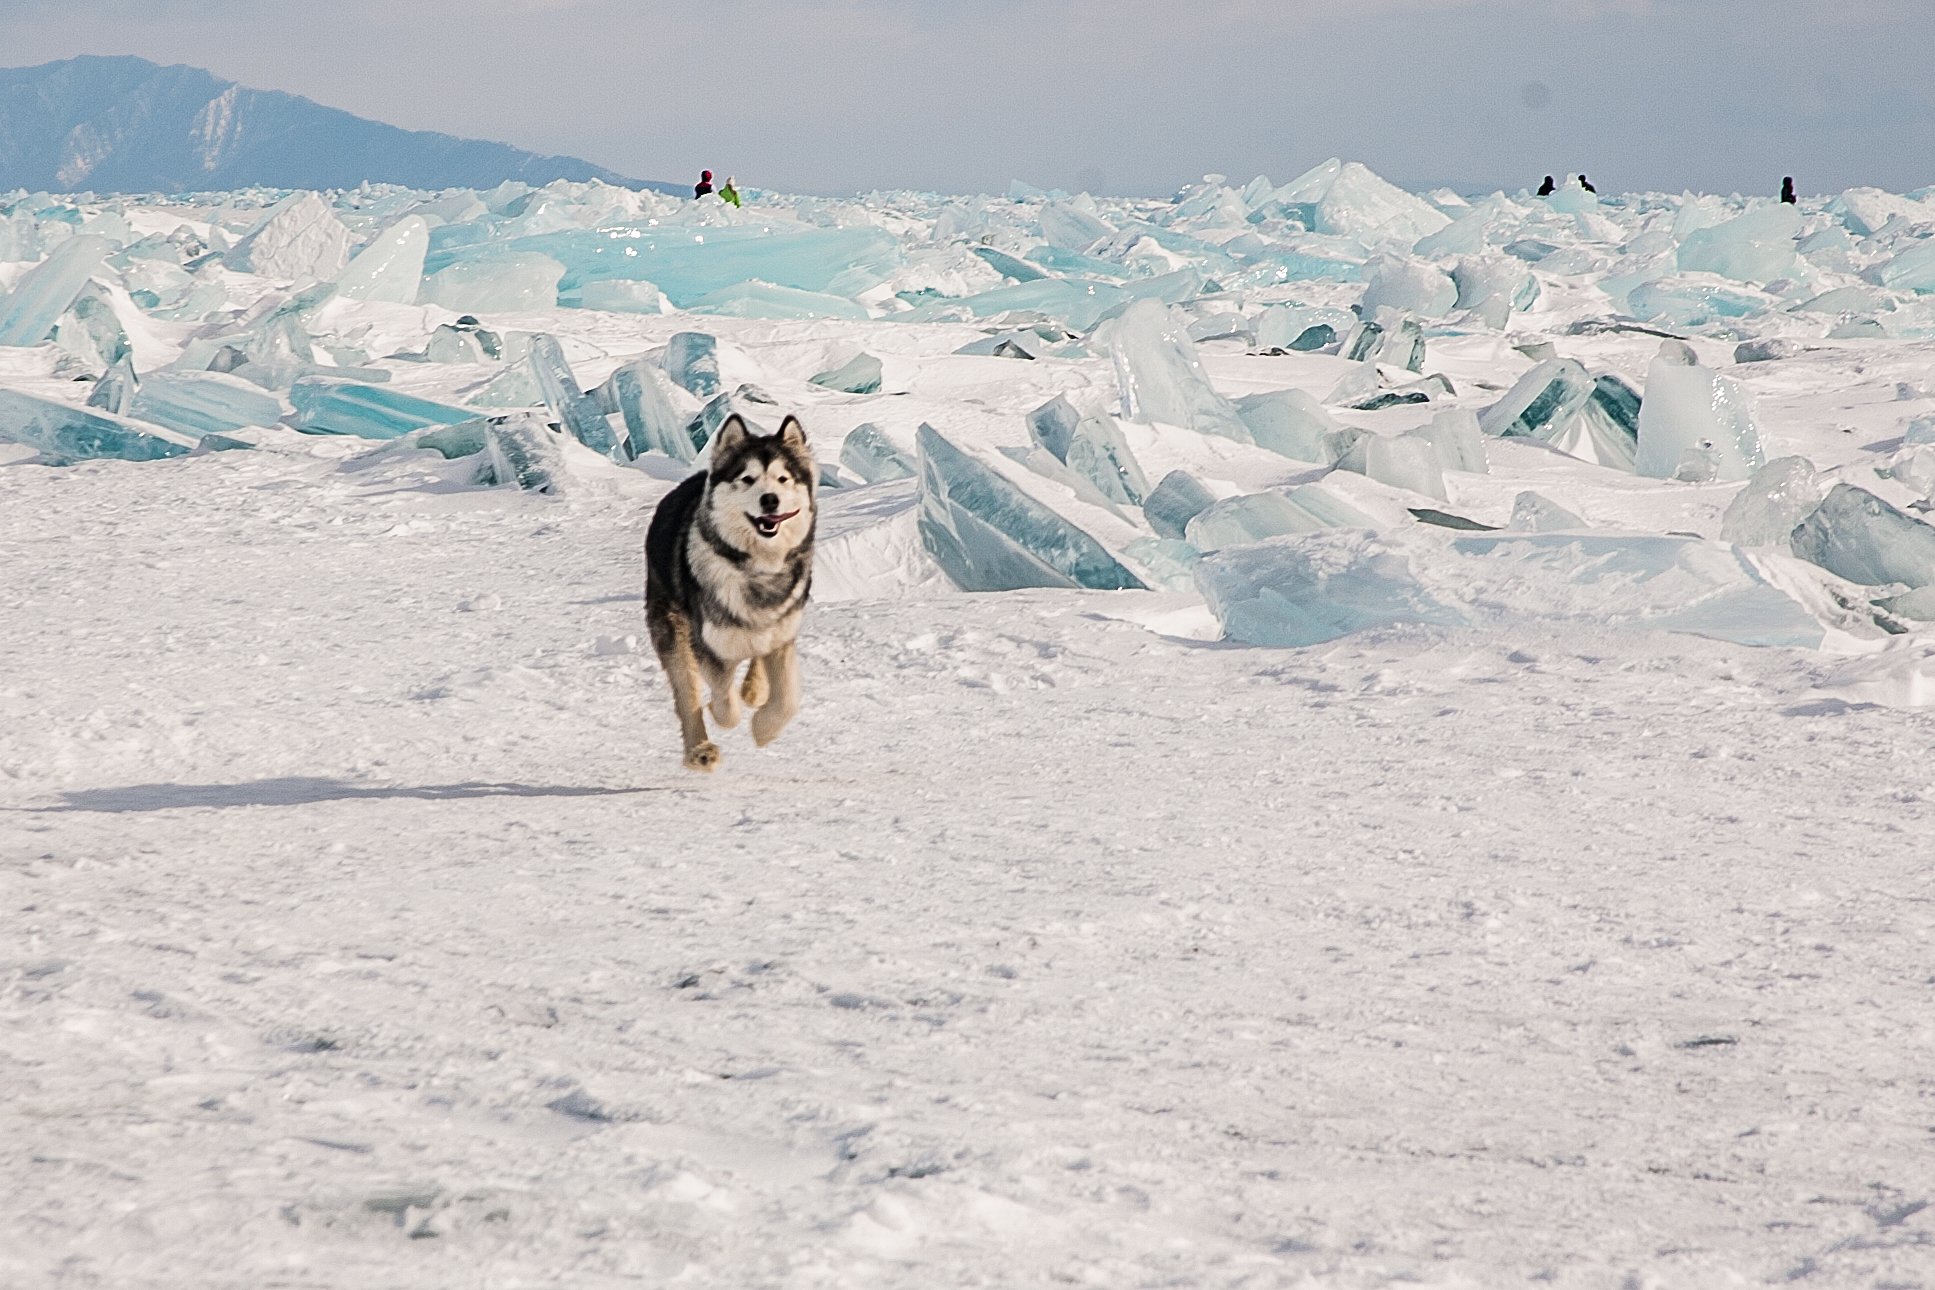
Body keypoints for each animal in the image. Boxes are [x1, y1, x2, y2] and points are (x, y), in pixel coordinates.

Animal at [642, 419, 808, 773]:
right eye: (747, 478)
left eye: (783, 478)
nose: (770, 500)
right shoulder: (707, 640)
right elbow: (721, 698)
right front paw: (723, 712)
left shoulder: (782, 629)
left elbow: (787, 698)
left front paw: (764, 727)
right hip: (670, 621)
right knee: (686, 689)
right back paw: (700, 749)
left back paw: (754, 688)